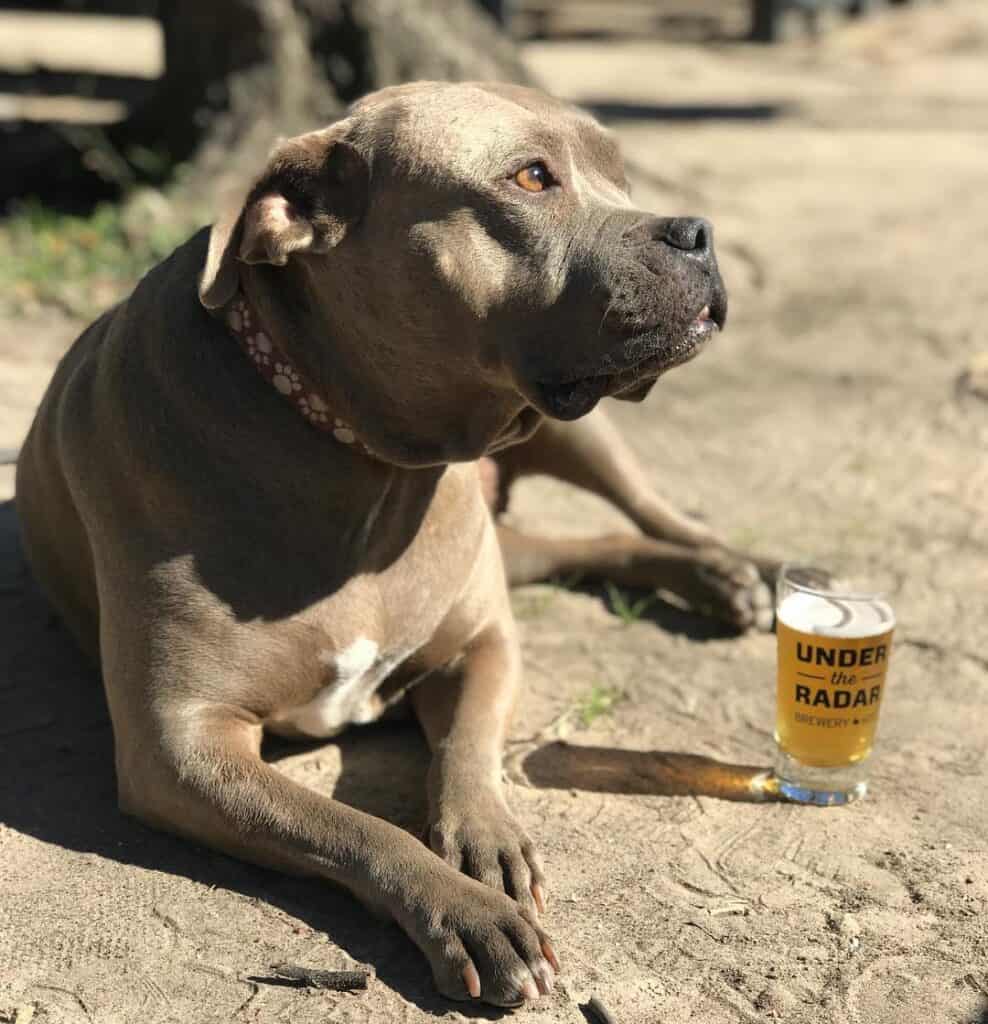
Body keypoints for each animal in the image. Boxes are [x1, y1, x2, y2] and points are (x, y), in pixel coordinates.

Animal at [13, 81, 769, 1007]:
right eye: (531, 177)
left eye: (618, 172)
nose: (697, 231)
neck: (369, 463)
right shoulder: (180, 747)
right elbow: (351, 826)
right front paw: (468, 912)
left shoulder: (483, 643)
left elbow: (468, 751)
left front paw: (486, 839)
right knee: (586, 543)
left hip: (578, 442)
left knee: (654, 510)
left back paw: (748, 573)